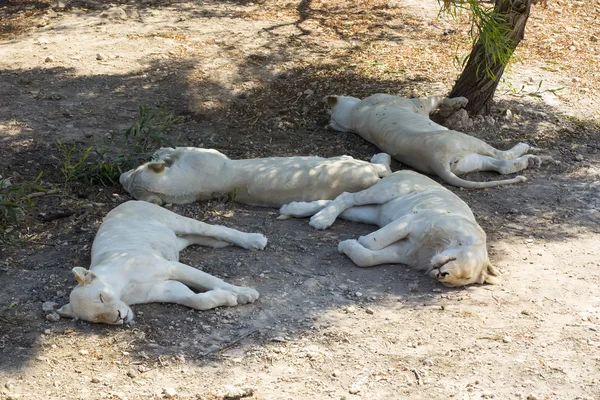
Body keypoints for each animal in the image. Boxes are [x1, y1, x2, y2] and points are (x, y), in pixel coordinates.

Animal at [56, 200, 268, 324]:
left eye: (101, 298)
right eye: (98, 318)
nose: (118, 317)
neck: (122, 290)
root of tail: (124, 202)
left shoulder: (171, 267)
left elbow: (212, 280)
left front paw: (244, 293)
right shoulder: (162, 289)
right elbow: (196, 300)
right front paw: (226, 298)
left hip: (178, 221)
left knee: (216, 228)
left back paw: (254, 240)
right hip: (176, 241)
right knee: (193, 237)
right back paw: (221, 244)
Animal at [278, 170, 500, 288]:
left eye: (461, 280)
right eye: (464, 268)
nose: (441, 275)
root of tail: (402, 171)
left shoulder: (404, 252)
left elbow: (368, 257)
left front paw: (346, 245)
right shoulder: (412, 221)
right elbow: (374, 241)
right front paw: (357, 241)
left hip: (370, 212)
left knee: (341, 204)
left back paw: (295, 209)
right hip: (387, 192)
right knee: (347, 196)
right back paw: (319, 219)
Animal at [326, 93, 540, 188]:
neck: (353, 116)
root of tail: (437, 162)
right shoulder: (417, 103)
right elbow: (437, 97)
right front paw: (460, 101)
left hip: (466, 163)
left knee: (501, 166)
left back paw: (530, 161)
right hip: (465, 139)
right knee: (501, 155)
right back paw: (525, 149)